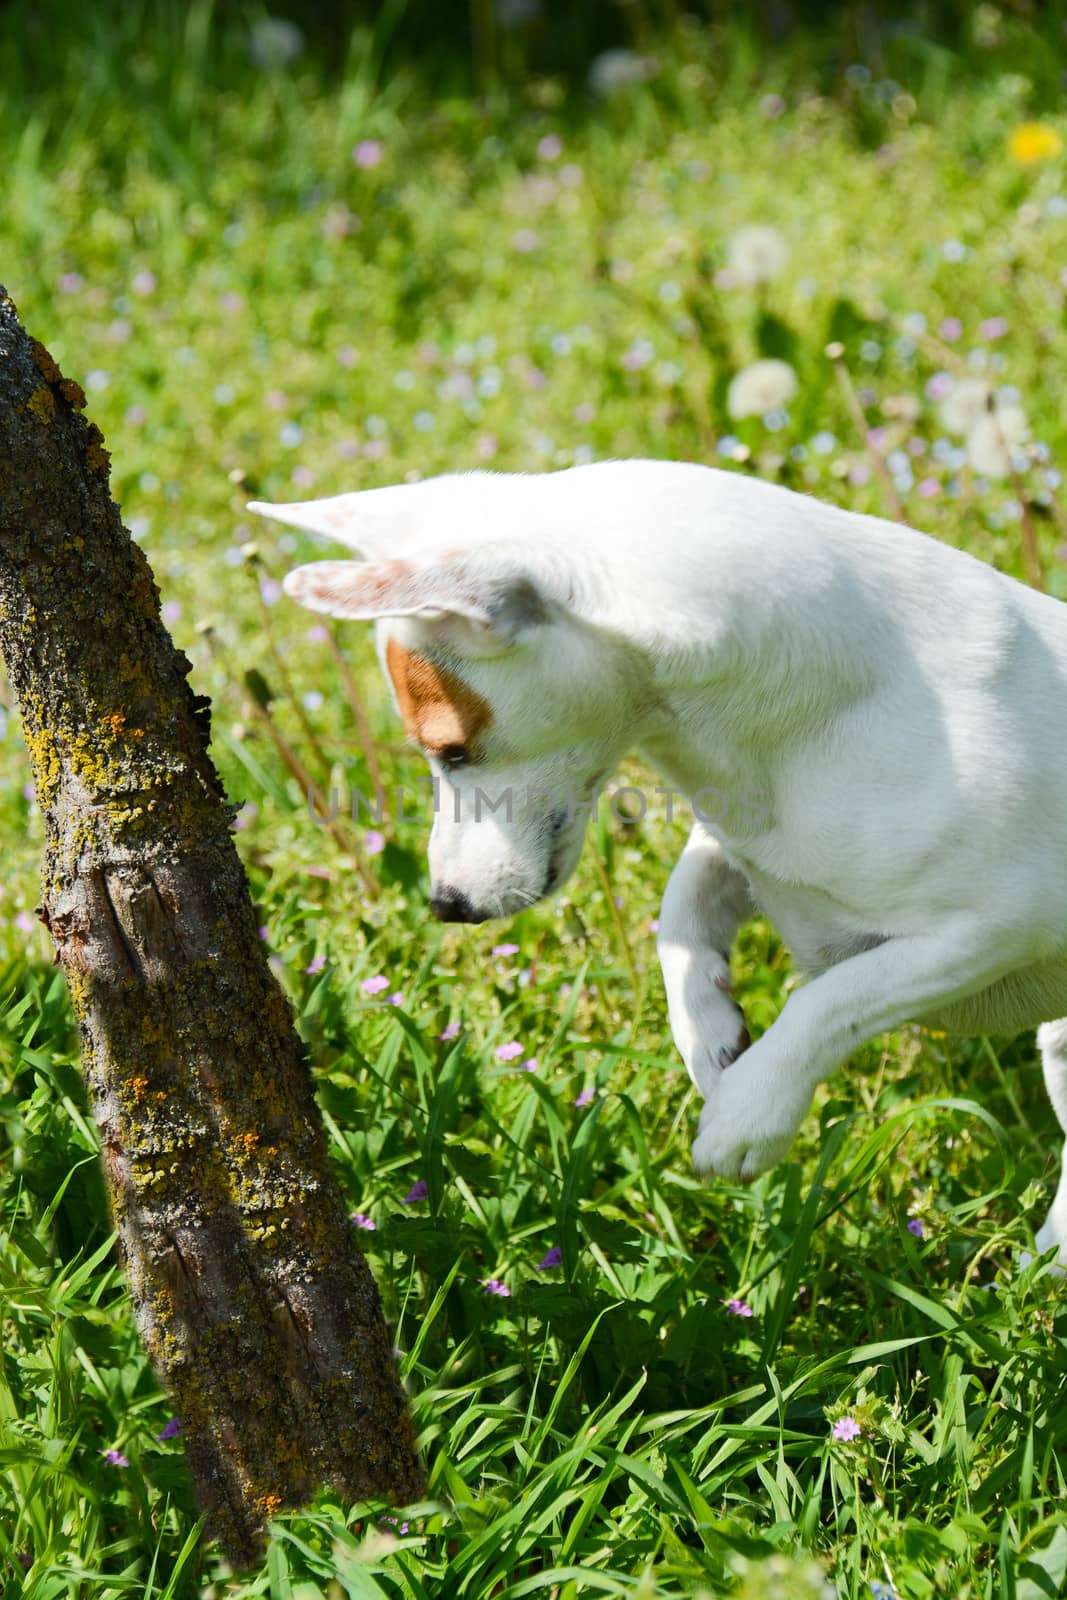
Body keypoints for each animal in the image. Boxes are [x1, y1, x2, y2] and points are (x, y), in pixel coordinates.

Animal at [247, 467, 1067, 1273]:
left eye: (451, 749)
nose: (445, 904)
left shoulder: (989, 932)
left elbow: (834, 998)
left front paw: (749, 1112)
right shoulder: (732, 845)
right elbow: (681, 918)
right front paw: (709, 1034)